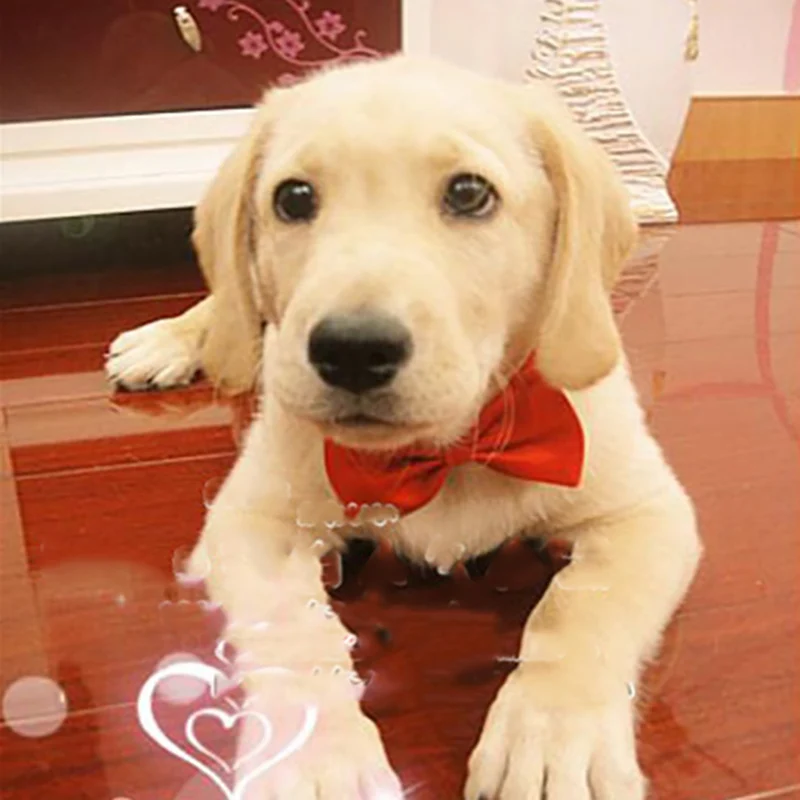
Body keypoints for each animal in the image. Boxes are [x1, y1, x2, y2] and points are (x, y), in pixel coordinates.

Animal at [107, 55, 701, 800]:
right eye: (293, 198)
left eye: (470, 193)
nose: (352, 350)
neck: (446, 450)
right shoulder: (249, 520)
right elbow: (293, 630)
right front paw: (317, 755)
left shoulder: (649, 512)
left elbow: (581, 609)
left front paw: (553, 735)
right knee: (230, 311)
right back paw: (173, 340)